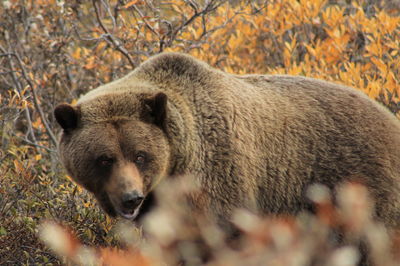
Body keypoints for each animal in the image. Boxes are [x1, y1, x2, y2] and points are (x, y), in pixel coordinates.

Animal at [53, 52, 400, 231]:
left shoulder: (219, 174)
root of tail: (389, 116)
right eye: (104, 158)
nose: (130, 198)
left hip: (357, 184)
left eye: (140, 154)